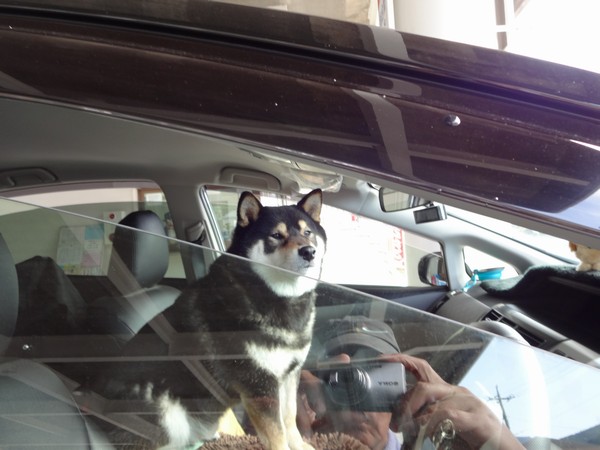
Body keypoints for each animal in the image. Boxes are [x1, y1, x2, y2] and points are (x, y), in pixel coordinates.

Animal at [144, 189, 326, 449]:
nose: (309, 251)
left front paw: (300, 446)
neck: (272, 295)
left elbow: (290, 418)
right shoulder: (259, 386)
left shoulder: (289, 375)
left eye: (307, 232)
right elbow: (277, 436)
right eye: (275, 236)